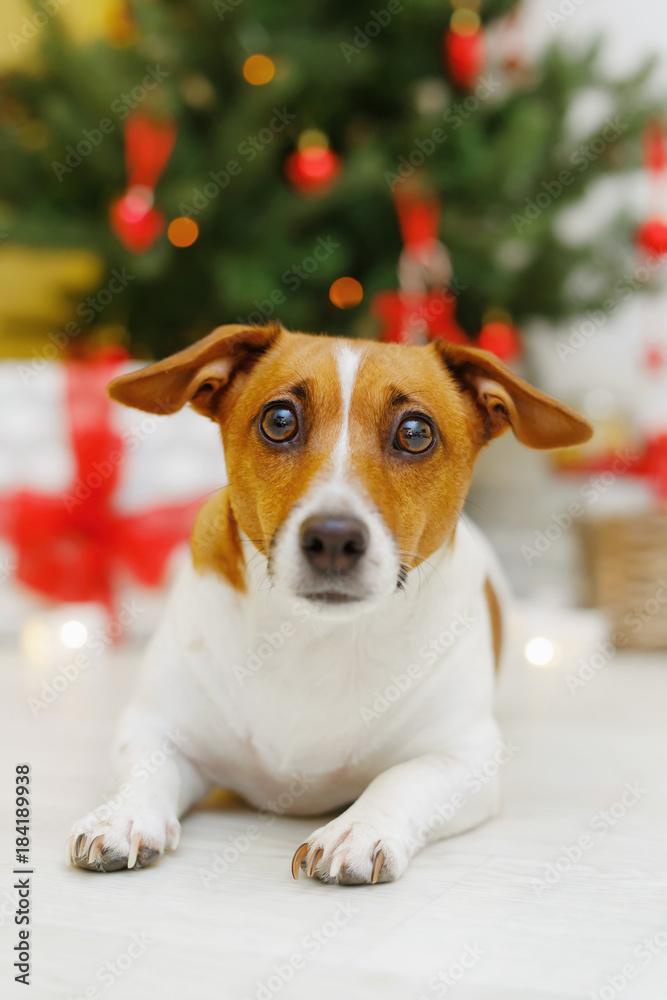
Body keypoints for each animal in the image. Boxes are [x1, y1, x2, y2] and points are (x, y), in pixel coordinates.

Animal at [65, 322, 592, 884]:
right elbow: (148, 769)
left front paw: (357, 829)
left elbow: (401, 780)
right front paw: (123, 815)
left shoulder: (464, 758)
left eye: (415, 433)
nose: (334, 537)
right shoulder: (154, 728)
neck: (316, 634)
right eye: (279, 421)